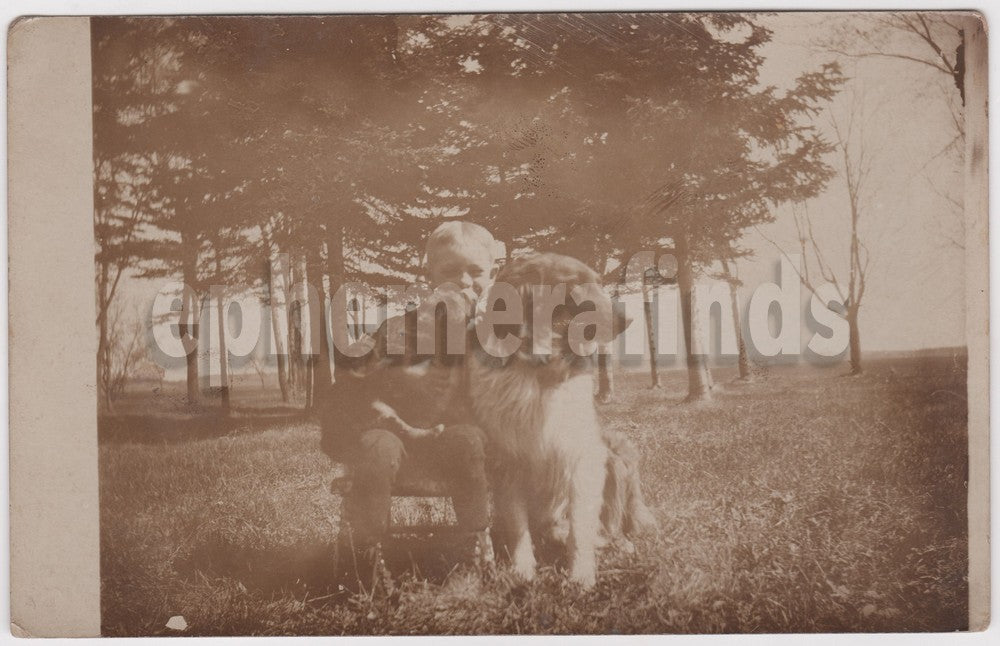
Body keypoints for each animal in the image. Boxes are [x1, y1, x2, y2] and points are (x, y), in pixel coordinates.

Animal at [466, 252, 632, 588]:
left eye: (598, 281)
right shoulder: (507, 465)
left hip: (614, 455)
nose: (628, 319)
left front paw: (581, 576)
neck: (538, 373)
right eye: (575, 286)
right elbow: (518, 527)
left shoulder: (582, 458)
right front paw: (522, 572)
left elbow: (580, 527)